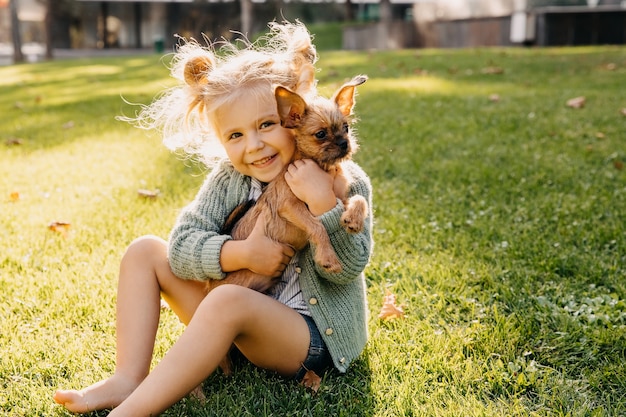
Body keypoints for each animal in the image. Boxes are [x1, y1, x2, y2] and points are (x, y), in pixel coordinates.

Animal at [207, 75, 368, 296]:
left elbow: (359, 199)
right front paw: (328, 258)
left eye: (346, 128)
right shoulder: (289, 205)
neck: (324, 169)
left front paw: (354, 220)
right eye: (320, 134)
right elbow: (317, 226)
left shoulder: (337, 199)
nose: (345, 143)